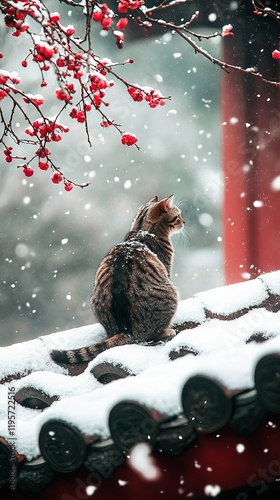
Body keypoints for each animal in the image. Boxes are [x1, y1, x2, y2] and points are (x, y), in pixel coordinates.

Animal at [51, 194, 185, 364]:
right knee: (152, 334)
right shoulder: (166, 269)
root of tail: (126, 330)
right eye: (178, 215)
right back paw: (167, 331)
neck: (142, 231)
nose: (184, 221)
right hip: (171, 292)